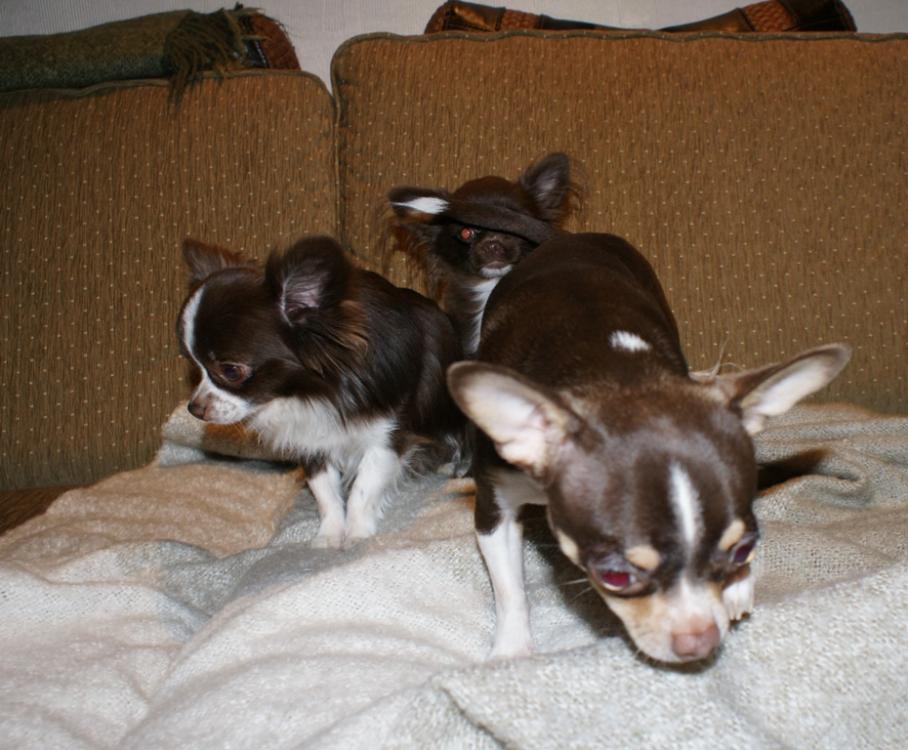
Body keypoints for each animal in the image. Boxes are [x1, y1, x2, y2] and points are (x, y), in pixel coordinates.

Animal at [177, 235, 464, 547]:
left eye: (230, 371)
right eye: (193, 365)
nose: (194, 408)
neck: (314, 392)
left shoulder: (388, 437)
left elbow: (363, 488)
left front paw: (357, 534)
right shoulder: (310, 437)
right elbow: (325, 491)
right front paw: (329, 535)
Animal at [445, 232, 851, 663]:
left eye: (743, 551)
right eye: (615, 576)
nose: (700, 641)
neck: (615, 372)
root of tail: (570, 237)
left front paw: (738, 585)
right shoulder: (495, 507)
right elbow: (509, 588)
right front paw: (511, 649)